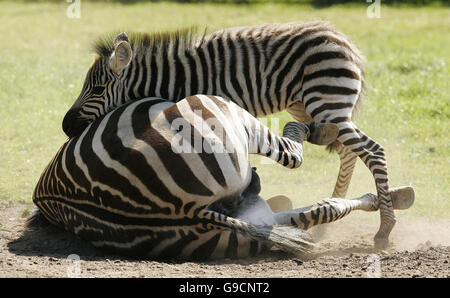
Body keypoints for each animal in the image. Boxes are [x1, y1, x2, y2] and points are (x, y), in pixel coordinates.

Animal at [29, 95, 414, 260]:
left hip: (233, 232)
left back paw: (393, 198)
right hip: (220, 108)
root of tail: (186, 209)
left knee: (314, 211)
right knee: (293, 156)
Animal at [60, 22, 408, 248]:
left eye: (97, 90)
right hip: (309, 106)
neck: (179, 80)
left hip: (327, 102)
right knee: (349, 150)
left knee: (372, 151)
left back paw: (385, 230)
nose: (65, 127)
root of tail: (345, 42)